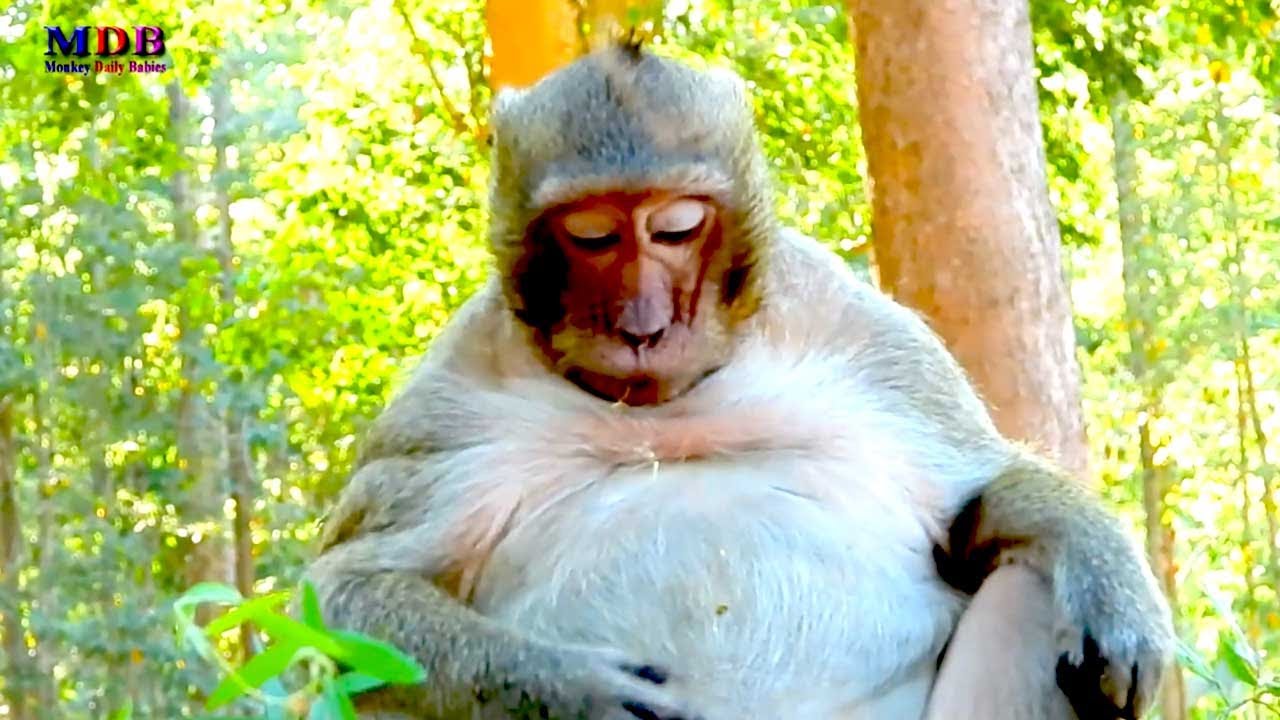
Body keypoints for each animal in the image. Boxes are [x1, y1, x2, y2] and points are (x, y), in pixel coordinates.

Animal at [305, 43, 1175, 720]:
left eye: (676, 227)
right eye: (591, 235)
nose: (644, 324)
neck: (665, 400)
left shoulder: (872, 338)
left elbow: (978, 502)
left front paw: (1113, 585)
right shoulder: (444, 405)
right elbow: (348, 593)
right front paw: (573, 689)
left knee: (1031, 584)